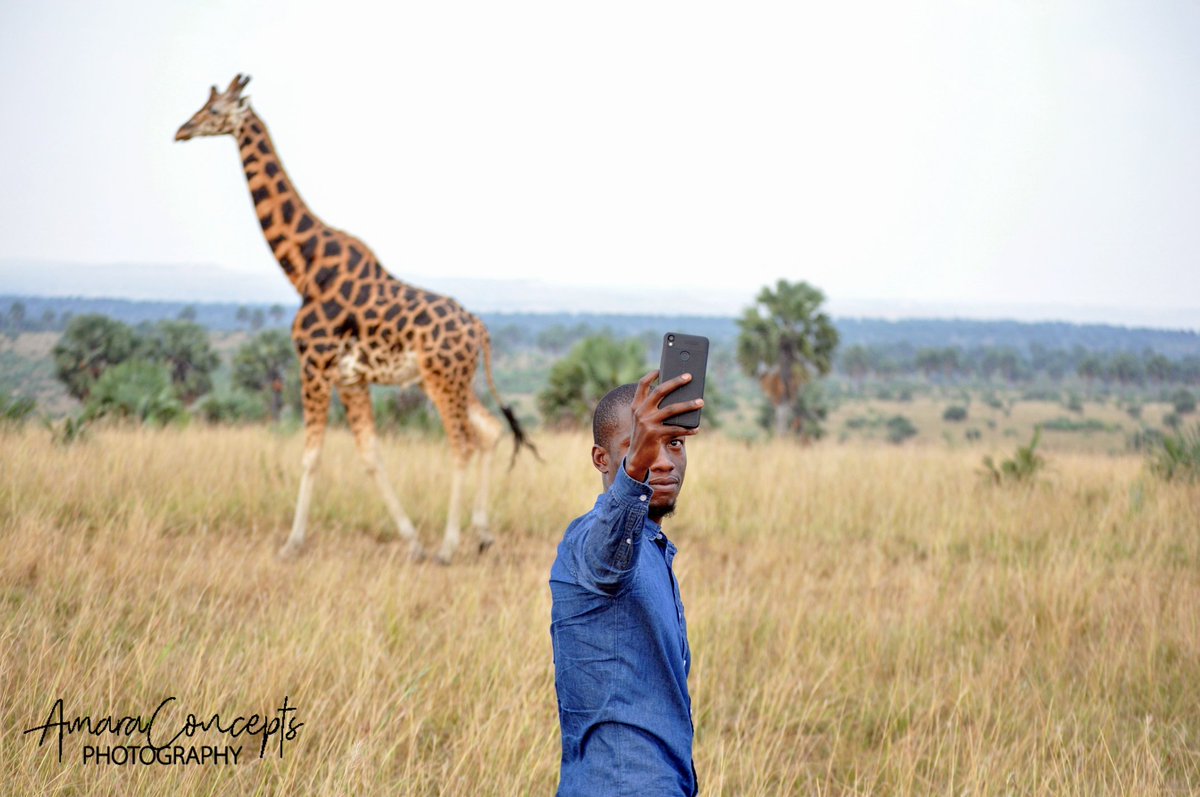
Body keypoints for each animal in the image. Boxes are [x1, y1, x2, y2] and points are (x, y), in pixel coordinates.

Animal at [175, 74, 538, 564]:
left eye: (215, 111)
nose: (182, 131)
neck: (305, 269)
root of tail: (479, 329)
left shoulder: (313, 364)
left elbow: (311, 456)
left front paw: (291, 544)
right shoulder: (350, 378)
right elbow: (370, 455)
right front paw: (411, 541)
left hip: (442, 380)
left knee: (462, 443)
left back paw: (449, 546)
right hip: (456, 379)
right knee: (489, 430)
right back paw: (481, 535)